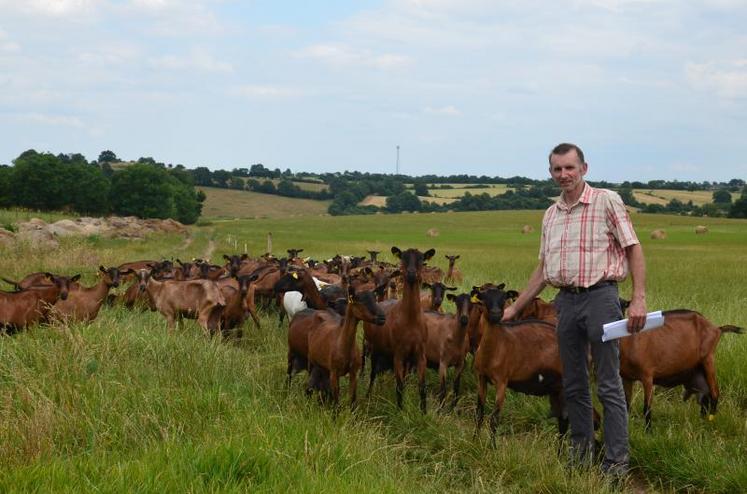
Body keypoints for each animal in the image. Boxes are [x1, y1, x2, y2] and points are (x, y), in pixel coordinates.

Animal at [360, 246, 432, 412]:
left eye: (421, 259)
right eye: (403, 257)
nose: (411, 273)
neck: (410, 320)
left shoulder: (420, 355)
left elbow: (422, 387)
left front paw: (424, 412)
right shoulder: (398, 354)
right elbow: (399, 386)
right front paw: (400, 410)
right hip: (375, 348)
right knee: (373, 373)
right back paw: (368, 395)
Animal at [474, 282, 568, 448]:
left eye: (503, 297)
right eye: (483, 298)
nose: (496, 314)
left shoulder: (502, 381)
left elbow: (494, 418)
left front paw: (492, 447)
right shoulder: (481, 377)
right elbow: (480, 412)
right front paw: (474, 441)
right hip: (555, 388)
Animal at [616, 308, 744, 428]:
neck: (630, 342)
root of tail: (717, 328)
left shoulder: (647, 376)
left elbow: (647, 408)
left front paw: (648, 432)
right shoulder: (627, 378)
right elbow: (626, 405)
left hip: (709, 359)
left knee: (714, 393)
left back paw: (709, 422)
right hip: (699, 369)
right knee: (705, 397)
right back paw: (701, 422)